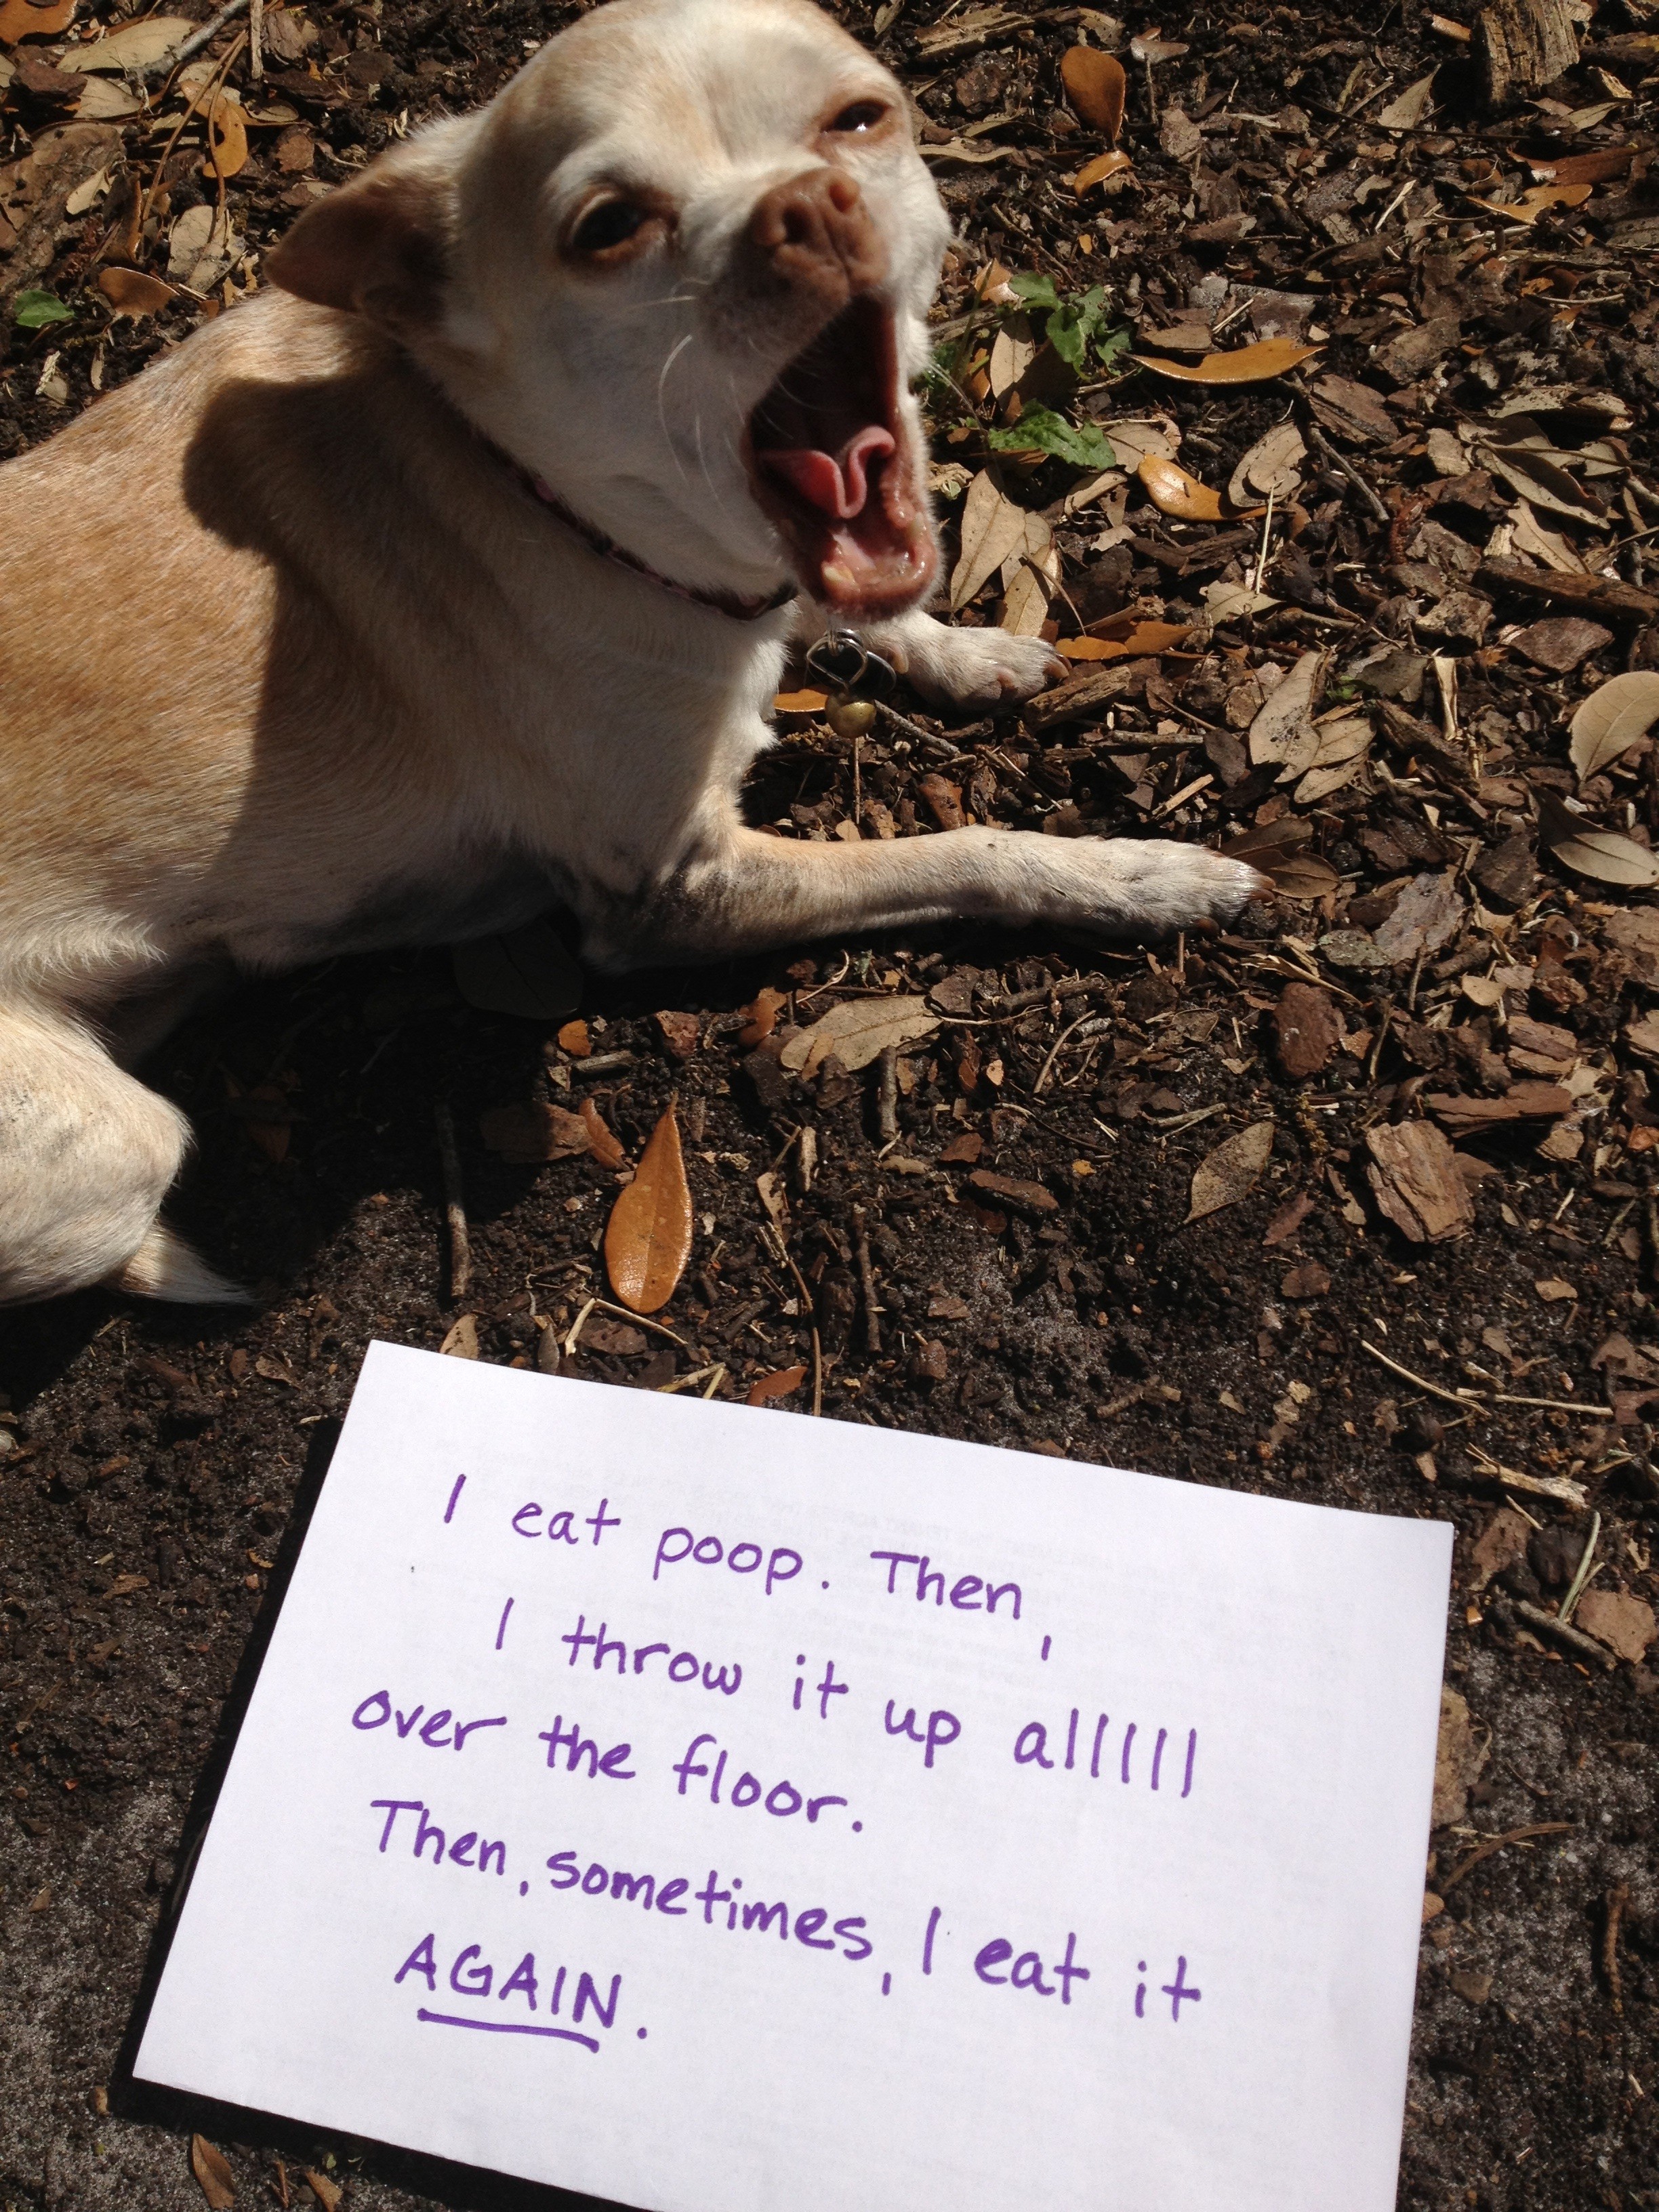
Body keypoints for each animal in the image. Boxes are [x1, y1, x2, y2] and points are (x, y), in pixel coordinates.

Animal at [0, 0, 1256, 1300]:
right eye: (605, 228)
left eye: (860, 119)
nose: (808, 206)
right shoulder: (673, 890)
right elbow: (963, 849)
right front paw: (1130, 876)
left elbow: (865, 612)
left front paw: (960, 651)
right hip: (120, 1144)